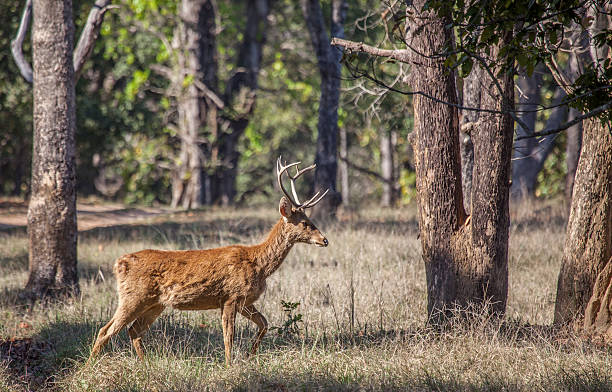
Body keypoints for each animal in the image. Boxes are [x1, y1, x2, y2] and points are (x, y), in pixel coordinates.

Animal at [87, 156, 330, 364]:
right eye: (306, 223)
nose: (325, 240)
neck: (259, 264)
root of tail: (119, 263)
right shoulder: (231, 297)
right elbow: (228, 337)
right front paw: (230, 366)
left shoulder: (244, 301)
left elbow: (264, 324)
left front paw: (250, 356)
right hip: (133, 296)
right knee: (105, 330)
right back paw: (89, 367)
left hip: (155, 303)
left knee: (134, 331)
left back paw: (146, 365)